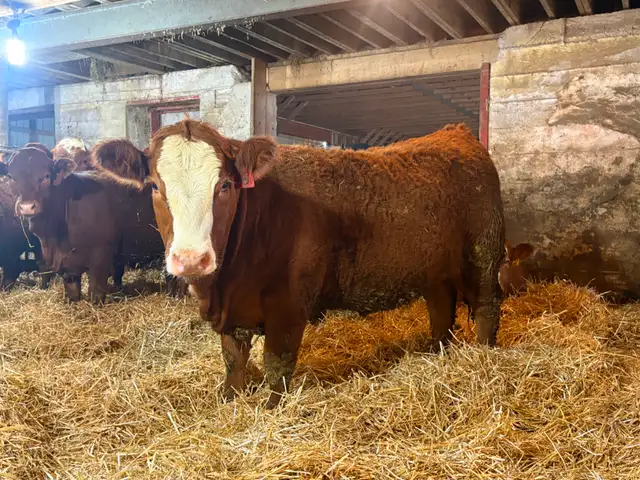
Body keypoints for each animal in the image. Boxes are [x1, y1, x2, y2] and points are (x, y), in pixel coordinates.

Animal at [0, 146, 167, 304]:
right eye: (11, 177)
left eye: (46, 176)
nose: (27, 207)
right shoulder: (68, 268)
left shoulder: (100, 260)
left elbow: (96, 295)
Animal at [138, 119, 506, 408]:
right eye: (155, 186)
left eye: (225, 185)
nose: (190, 258)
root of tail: (456, 134)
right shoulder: (233, 312)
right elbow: (233, 359)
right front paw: (230, 398)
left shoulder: (287, 307)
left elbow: (277, 364)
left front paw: (271, 410)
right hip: (435, 270)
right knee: (441, 310)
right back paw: (437, 354)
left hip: (483, 254)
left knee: (486, 307)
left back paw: (484, 356)